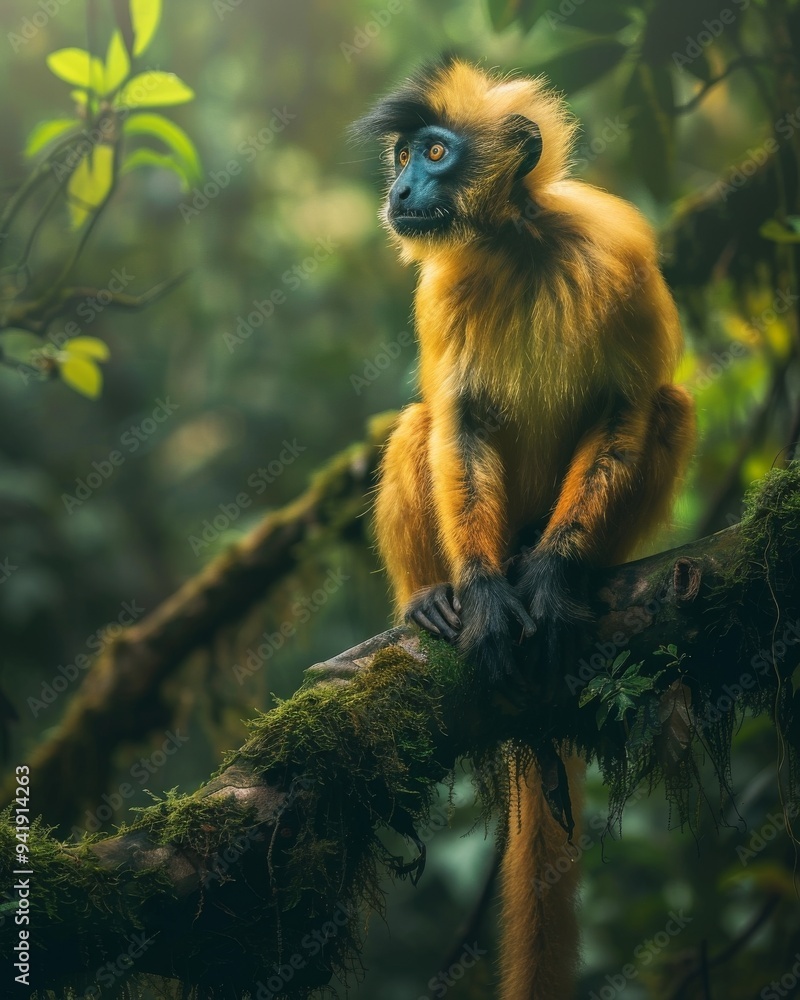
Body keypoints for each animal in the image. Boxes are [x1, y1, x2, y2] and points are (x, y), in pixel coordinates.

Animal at [352, 57, 695, 999]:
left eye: (435, 153)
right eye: (403, 154)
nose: (399, 190)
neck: (519, 243)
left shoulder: (616, 253)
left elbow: (625, 406)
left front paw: (548, 582)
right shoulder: (446, 287)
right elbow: (460, 425)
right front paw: (482, 600)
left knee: (666, 404)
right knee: (419, 424)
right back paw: (431, 600)